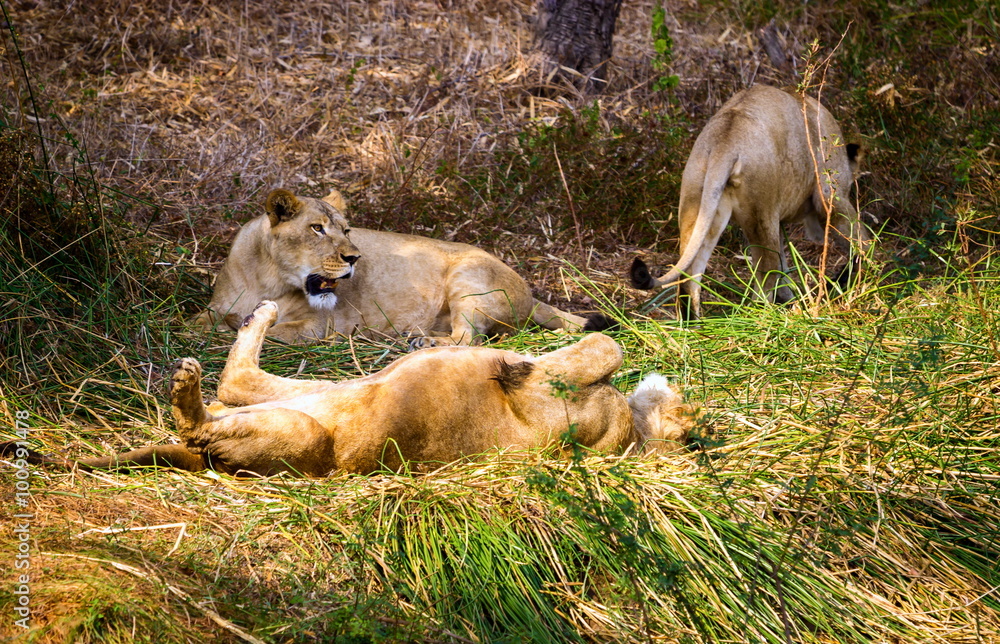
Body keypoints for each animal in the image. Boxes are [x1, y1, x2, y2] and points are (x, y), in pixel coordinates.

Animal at [7, 301, 696, 477]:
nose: (691, 420)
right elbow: (606, 349)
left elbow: (605, 349)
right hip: (325, 389)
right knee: (235, 384)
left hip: (302, 425)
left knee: (211, 411)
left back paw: (190, 386)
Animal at [193, 189, 609, 346]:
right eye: (317, 229)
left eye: (346, 230)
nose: (354, 258)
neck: (267, 276)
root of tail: (531, 293)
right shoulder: (213, 308)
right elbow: (195, 323)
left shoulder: (325, 325)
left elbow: (273, 331)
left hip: (469, 277)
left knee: (467, 339)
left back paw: (422, 342)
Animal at [630, 84, 871, 319]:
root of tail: (726, 142)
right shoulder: (832, 194)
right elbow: (860, 240)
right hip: (762, 213)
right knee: (765, 273)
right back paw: (765, 318)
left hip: (700, 207)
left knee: (689, 278)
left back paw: (694, 327)